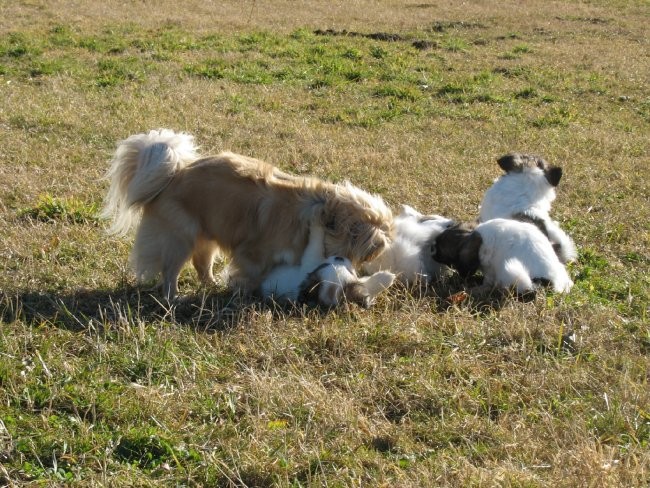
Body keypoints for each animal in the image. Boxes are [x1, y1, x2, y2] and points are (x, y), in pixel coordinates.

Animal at [430, 219, 572, 296]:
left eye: (440, 248)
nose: (431, 249)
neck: (473, 236)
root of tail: (550, 279)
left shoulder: (489, 270)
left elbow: (487, 283)